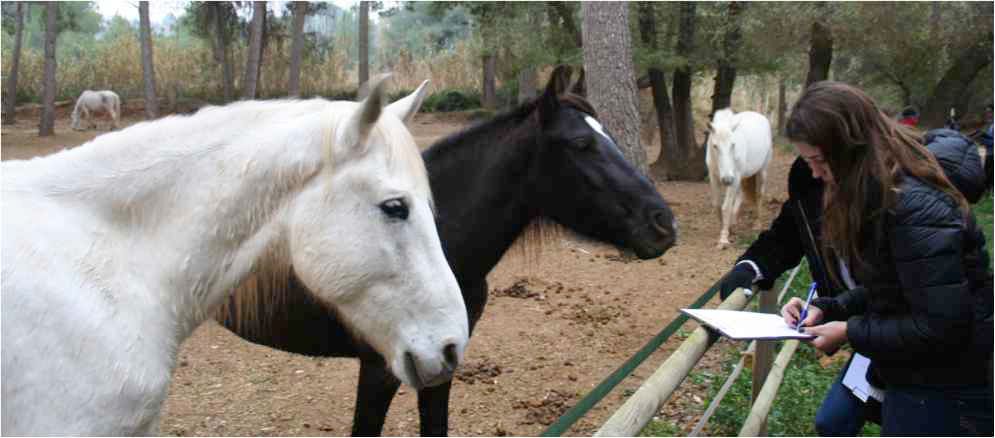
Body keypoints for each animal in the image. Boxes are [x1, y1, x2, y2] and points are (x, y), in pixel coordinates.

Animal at [705, 108, 773, 247]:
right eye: (715, 146)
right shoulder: (714, 178)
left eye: (733, 144)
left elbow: (726, 207)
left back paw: (757, 224)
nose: (727, 180)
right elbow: (717, 205)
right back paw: (733, 222)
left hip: (761, 172)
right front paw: (727, 229)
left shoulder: (734, 178)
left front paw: (723, 239)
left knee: (759, 195)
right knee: (741, 195)